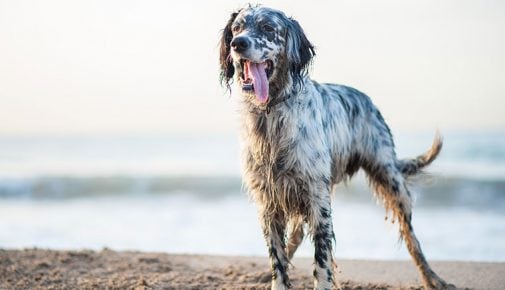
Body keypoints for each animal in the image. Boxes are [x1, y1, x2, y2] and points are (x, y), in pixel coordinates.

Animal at [219, 5, 450, 290]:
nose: (237, 44)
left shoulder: (317, 199)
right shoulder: (269, 201)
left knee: (412, 240)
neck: (271, 115)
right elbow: (277, 257)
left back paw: (432, 278)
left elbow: (322, 257)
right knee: (296, 235)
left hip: (391, 181)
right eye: (237, 28)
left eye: (268, 28)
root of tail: (367, 100)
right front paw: (278, 279)